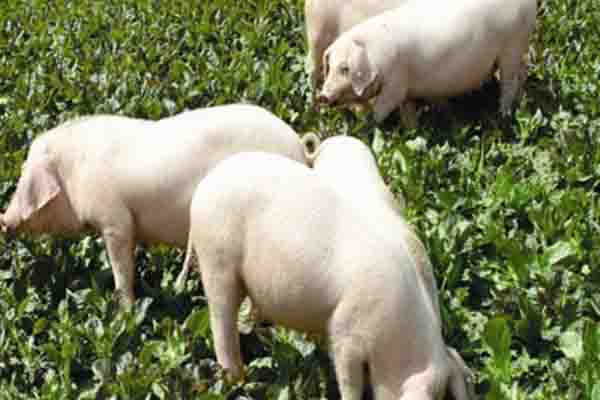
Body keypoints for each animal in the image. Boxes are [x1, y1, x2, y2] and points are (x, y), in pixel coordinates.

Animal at [0, 104, 310, 307]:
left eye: (24, 178)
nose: (3, 220)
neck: (73, 174)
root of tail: (298, 147)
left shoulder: (115, 219)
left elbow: (121, 269)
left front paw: (125, 312)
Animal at [183, 142, 473, 399]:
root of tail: (204, 186)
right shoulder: (347, 330)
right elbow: (349, 382)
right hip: (216, 257)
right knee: (220, 319)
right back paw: (236, 379)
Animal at [318, 0, 537, 124]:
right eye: (330, 67)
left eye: (345, 69)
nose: (322, 96)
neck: (377, 57)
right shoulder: (406, 88)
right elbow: (407, 113)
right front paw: (411, 133)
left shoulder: (395, 84)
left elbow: (380, 112)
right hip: (518, 49)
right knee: (522, 72)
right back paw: (520, 103)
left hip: (512, 46)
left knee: (508, 81)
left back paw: (504, 115)